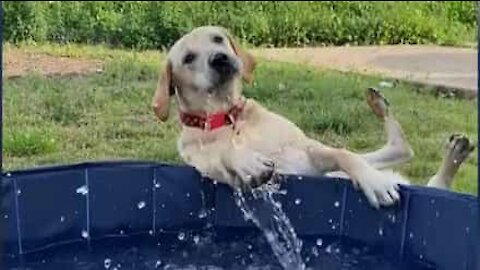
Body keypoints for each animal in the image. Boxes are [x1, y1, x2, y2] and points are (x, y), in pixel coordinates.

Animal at [152, 26, 474, 208]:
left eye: (217, 39)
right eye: (188, 58)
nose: (219, 59)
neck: (231, 120)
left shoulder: (310, 153)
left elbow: (346, 155)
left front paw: (372, 182)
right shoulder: (206, 167)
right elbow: (224, 155)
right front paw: (246, 161)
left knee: (404, 154)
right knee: (423, 171)